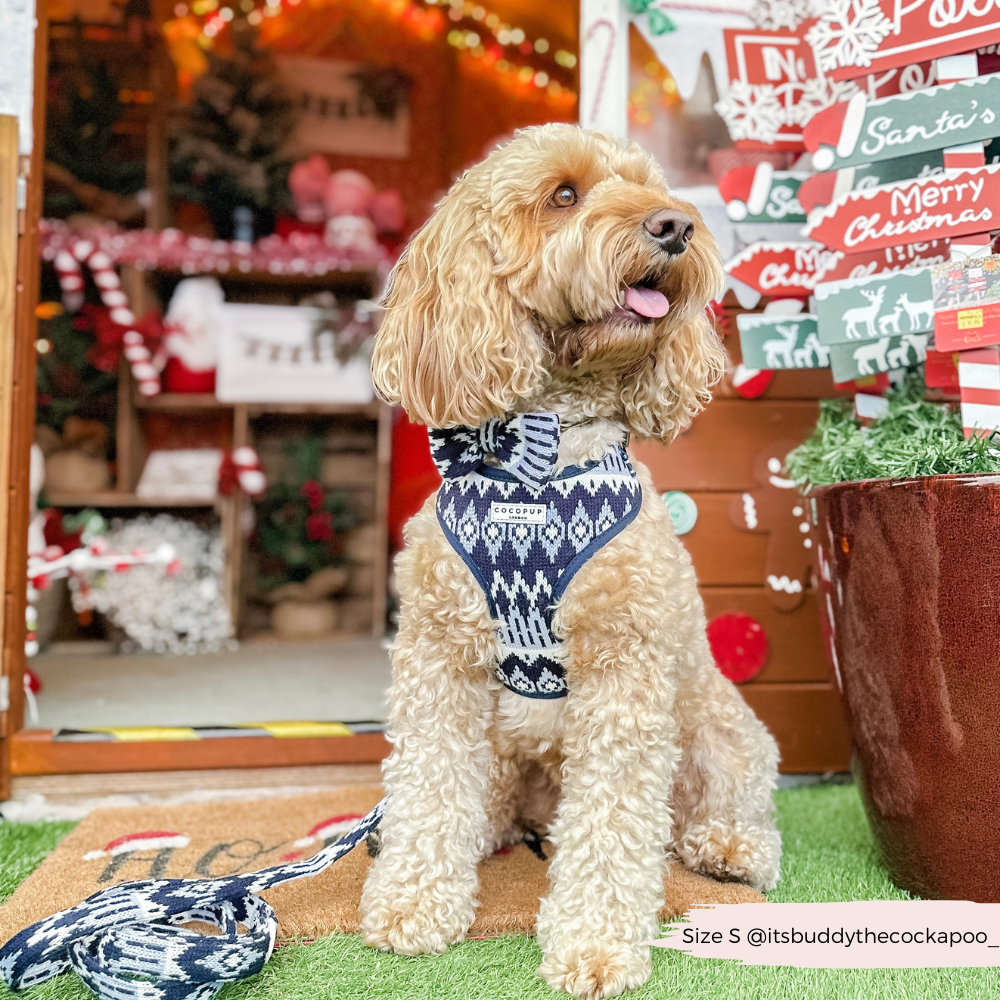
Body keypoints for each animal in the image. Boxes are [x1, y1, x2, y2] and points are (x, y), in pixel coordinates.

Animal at [360, 125, 780, 1000]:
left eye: (652, 186)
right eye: (564, 195)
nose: (674, 226)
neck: (541, 467)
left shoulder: (626, 672)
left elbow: (614, 822)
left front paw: (595, 945)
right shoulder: (439, 659)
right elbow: (426, 788)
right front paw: (413, 903)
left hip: (719, 727)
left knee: (721, 807)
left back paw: (728, 848)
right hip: (507, 750)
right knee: (488, 801)